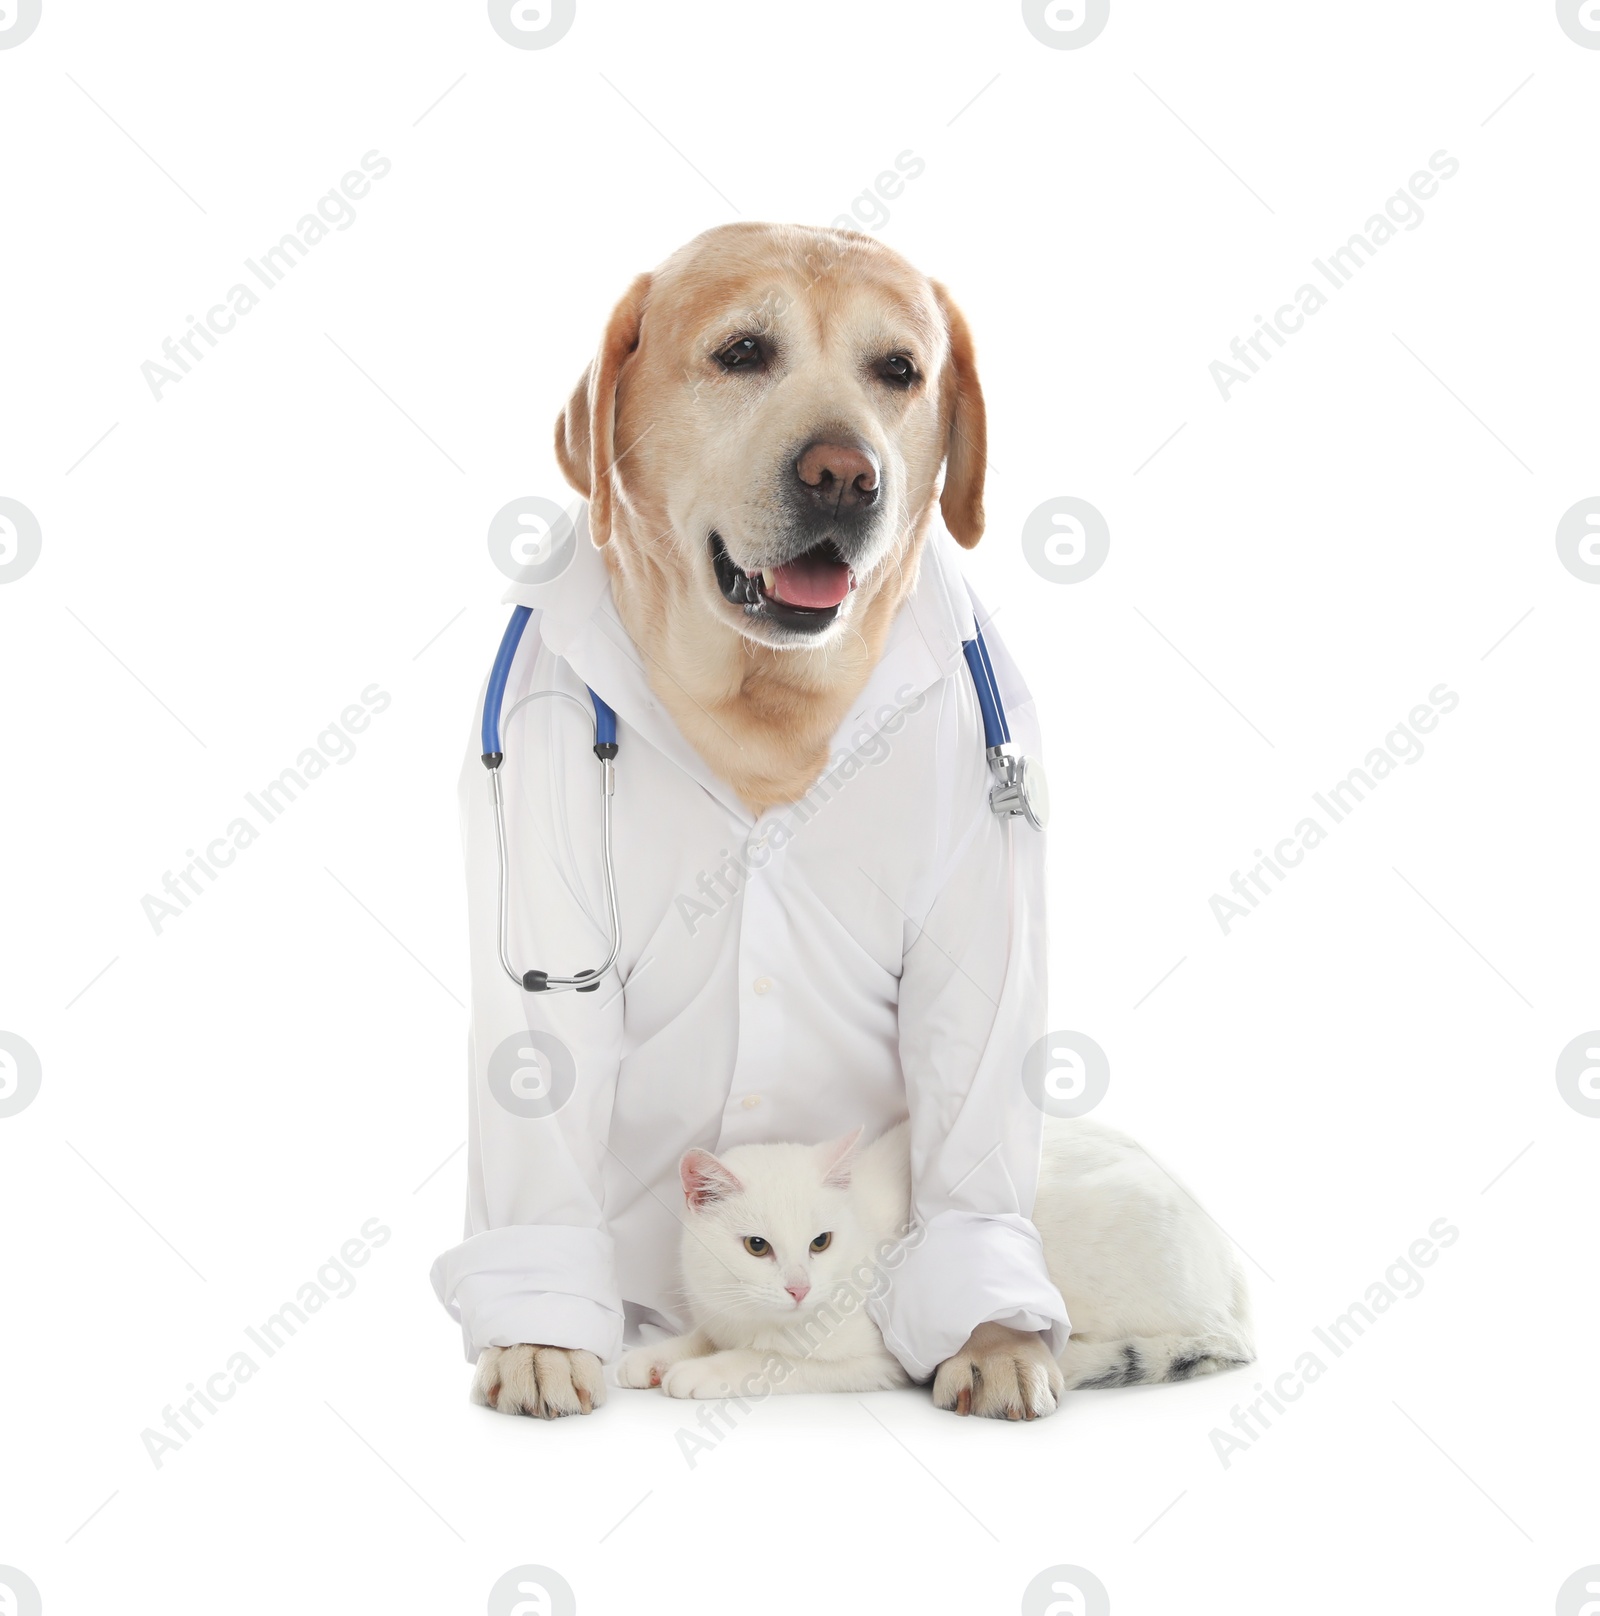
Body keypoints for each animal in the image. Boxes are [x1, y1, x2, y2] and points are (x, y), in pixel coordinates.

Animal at [481, 224, 1060, 1415]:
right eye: (744, 351)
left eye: (900, 370)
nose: (847, 474)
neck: (766, 710)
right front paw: (545, 1340)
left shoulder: (985, 906)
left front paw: (992, 1337)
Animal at [620, 1118, 1260, 1409]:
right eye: (757, 1247)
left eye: (821, 1242)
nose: (799, 1288)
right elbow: (703, 1335)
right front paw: (654, 1356)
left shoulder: (880, 1359)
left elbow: (771, 1361)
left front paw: (704, 1372)